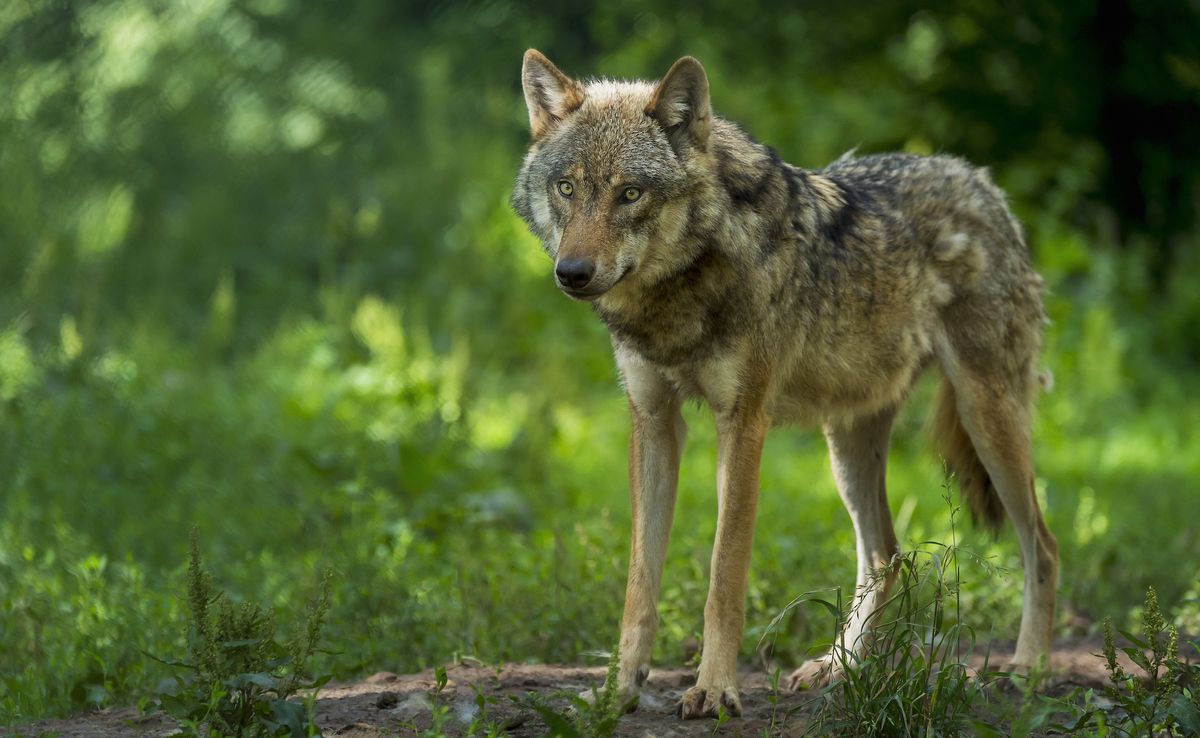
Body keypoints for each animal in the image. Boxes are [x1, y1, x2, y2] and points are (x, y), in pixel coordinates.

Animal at [511, 49, 1056, 720]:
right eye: (567, 188)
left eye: (630, 194)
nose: (572, 273)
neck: (678, 294)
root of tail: (979, 180)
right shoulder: (653, 422)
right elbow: (640, 584)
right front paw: (620, 691)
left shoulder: (743, 422)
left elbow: (724, 574)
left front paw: (714, 690)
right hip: (848, 446)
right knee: (886, 556)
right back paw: (837, 668)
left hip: (987, 419)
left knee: (1042, 546)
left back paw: (1027, 668)